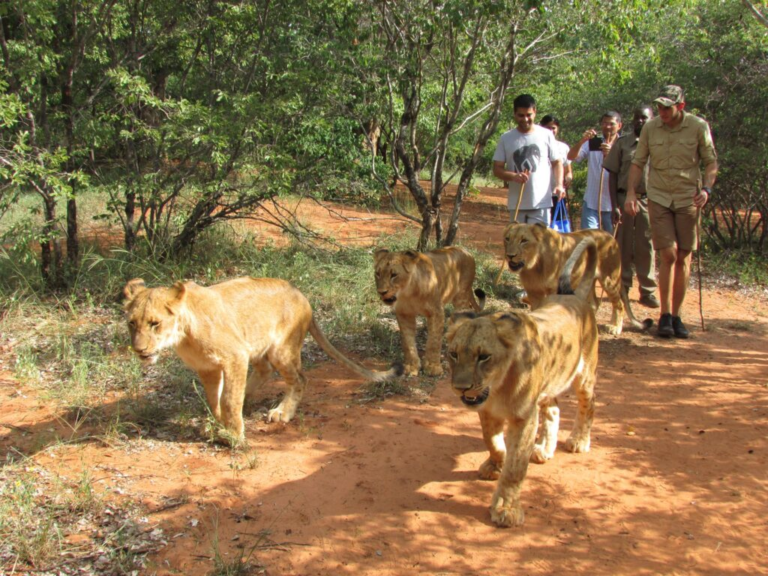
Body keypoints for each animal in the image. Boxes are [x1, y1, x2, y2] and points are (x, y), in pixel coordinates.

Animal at [123, 277, 401, 441]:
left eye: (155, 323)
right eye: (132, 323)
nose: (138, 349)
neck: (183, 335)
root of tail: (303, 296)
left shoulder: (234, 355)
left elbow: (229, 398)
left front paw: (234, 435)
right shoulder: (208, 367)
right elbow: (215, 399)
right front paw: (217, 423)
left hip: (281, 349)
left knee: (300, 379)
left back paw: (282, 413)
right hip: (257, 345)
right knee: (265, 371)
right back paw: (250, 398)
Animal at [374, 247, 485, 377]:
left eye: (394, 275)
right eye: (378, 273)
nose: (381, 292)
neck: (408, 293)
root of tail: (465, 250)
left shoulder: (436, 311)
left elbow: (434, 341)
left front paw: (433, 367)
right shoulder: (404, 314)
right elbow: (407, 342)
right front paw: (411, 366)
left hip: (461, 297)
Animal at [445, 237, 600, 528]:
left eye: (484, 356)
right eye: (453, 354)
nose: (460, 388)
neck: (497, 386)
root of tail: (571, 295)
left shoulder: (524, 417)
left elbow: (516, 468)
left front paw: (506, 508)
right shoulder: (486, 411)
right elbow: (493, 442)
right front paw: (496, 464)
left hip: (584, 374)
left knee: (589, 405)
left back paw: (578, 441)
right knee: (554, 409)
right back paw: (543, 449)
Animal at [502, 222, 651, 335]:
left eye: (524, 241)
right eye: (507, 238)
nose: (510, 255)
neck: (533, 266)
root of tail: (611, 236)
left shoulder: (553, 291)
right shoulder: (533, 293)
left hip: (609, 279)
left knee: (619, 303)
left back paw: (615, 327)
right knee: (595, 303)